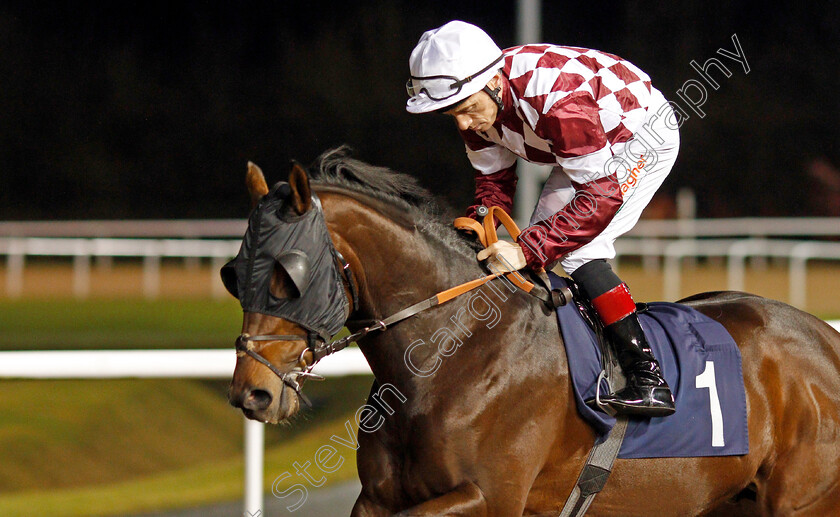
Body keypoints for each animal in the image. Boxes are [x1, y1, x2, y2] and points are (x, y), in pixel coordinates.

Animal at [225, 147, 840, 512]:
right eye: (236, 273)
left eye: (287, 276)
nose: (253, 392)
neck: (451, 357)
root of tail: (827, 341)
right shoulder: (378, 498)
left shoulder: (489, 497)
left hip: (802, 500)